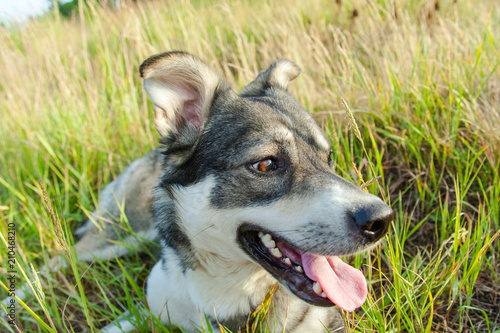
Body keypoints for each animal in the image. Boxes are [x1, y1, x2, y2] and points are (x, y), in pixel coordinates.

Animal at [8, 52, 394, 332]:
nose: (381, 220)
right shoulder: (150, 304)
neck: (227, 292)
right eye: (266, 165)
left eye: (329, 159)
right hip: (117, 235)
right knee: (61, 258)